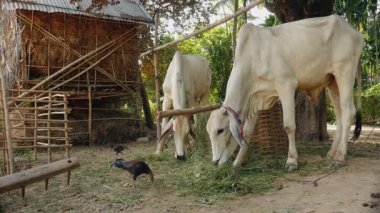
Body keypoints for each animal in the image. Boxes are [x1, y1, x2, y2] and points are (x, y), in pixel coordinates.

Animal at [208, 15, 366, 171]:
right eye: (208, 132)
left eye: (220, 130)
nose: (215, 162)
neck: (253, 58)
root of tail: (356, 33)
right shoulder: (255, 97)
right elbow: (247, 132)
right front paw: (238, 162)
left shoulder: (286, 85)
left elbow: (289, 126)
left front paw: (291, 161)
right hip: (332, 82)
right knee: (339, 116)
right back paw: (332, 153)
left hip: (344, 72)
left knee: (348, 112)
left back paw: (340, 157)